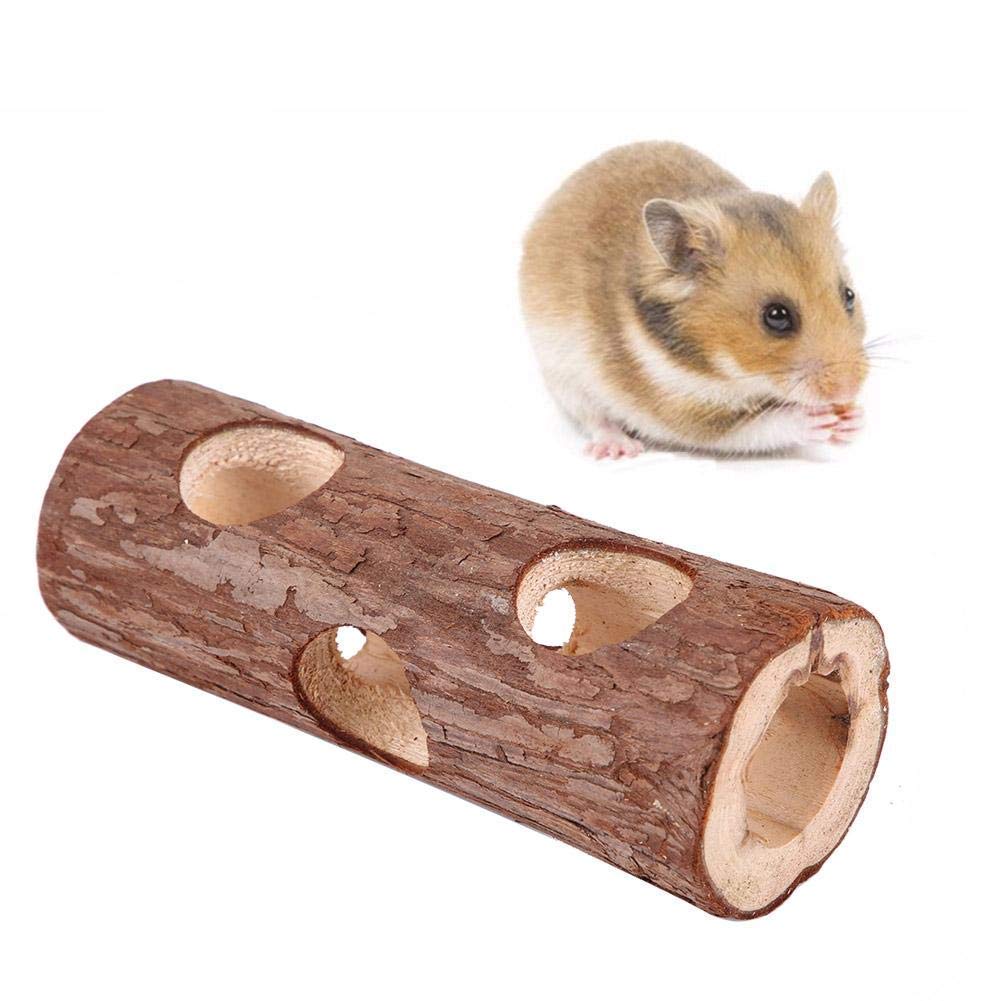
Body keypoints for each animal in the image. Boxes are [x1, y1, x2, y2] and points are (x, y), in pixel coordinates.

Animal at [520, 142, 868, 458]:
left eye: (849, 296)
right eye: (776, 316)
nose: (848, 388)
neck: (719, 368)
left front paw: (853, 420)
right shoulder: (687, 410)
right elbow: (761, 426)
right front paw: (815, 419)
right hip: (563, 376)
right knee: (594, 417)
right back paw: (619, 448)